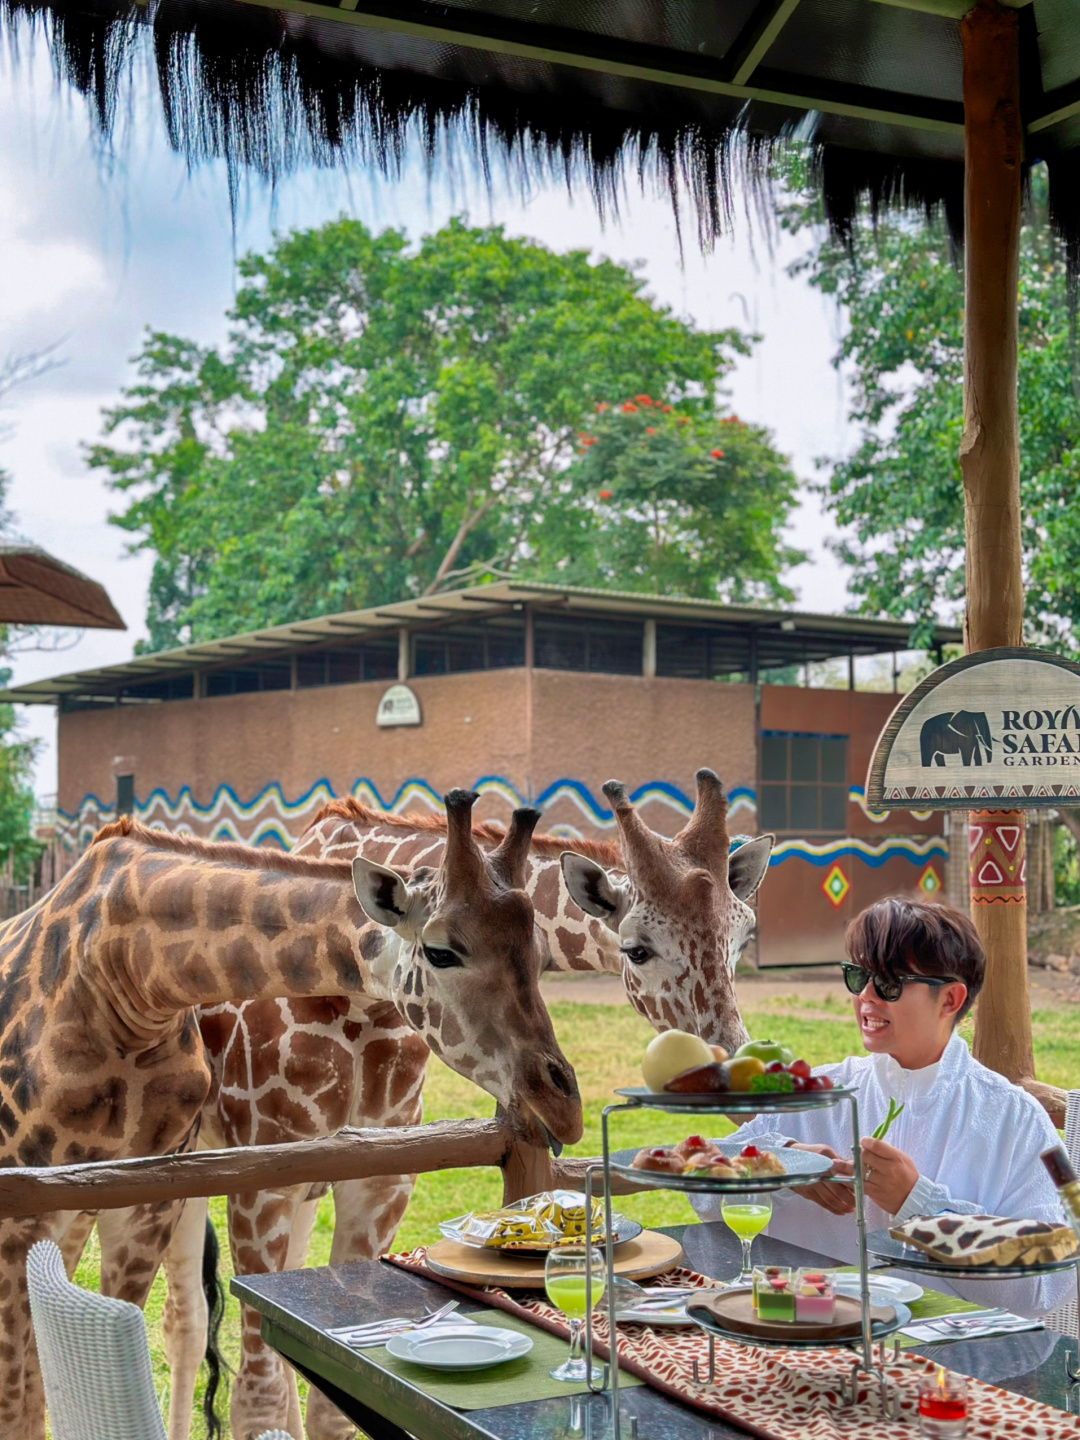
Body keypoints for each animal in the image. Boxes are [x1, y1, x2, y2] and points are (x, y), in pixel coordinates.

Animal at [0, 800, 584, 1440]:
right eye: (441, 951)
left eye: (537, 953)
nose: (562, 1106)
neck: (121, 977)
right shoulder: (236, 1188)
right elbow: (22, 1400)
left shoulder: (366, 1184)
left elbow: (323, 1395)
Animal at [171, 771, 771, 1440]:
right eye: (637, 949)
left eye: (742, 937)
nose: (734, 1068)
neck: (361, 1000)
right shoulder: (259, 1178)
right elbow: (257, 1389)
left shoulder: (371, 1174)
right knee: (186, 1320)